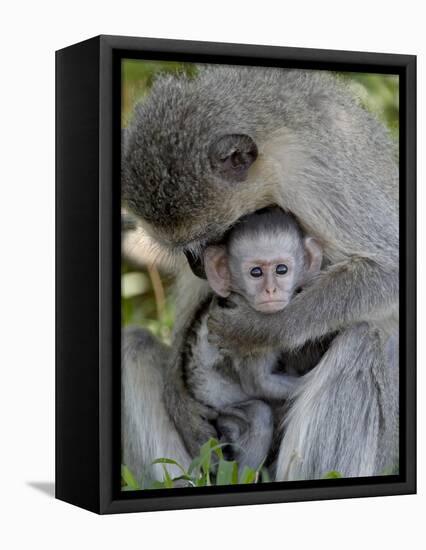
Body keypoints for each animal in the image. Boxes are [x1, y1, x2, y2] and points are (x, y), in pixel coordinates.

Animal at [178, 207, 322, 470]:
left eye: (281, 270)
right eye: (255, 272)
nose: (270, 290)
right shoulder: (249, 335)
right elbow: (259, 384)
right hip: (223, 411)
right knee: (258, 415)